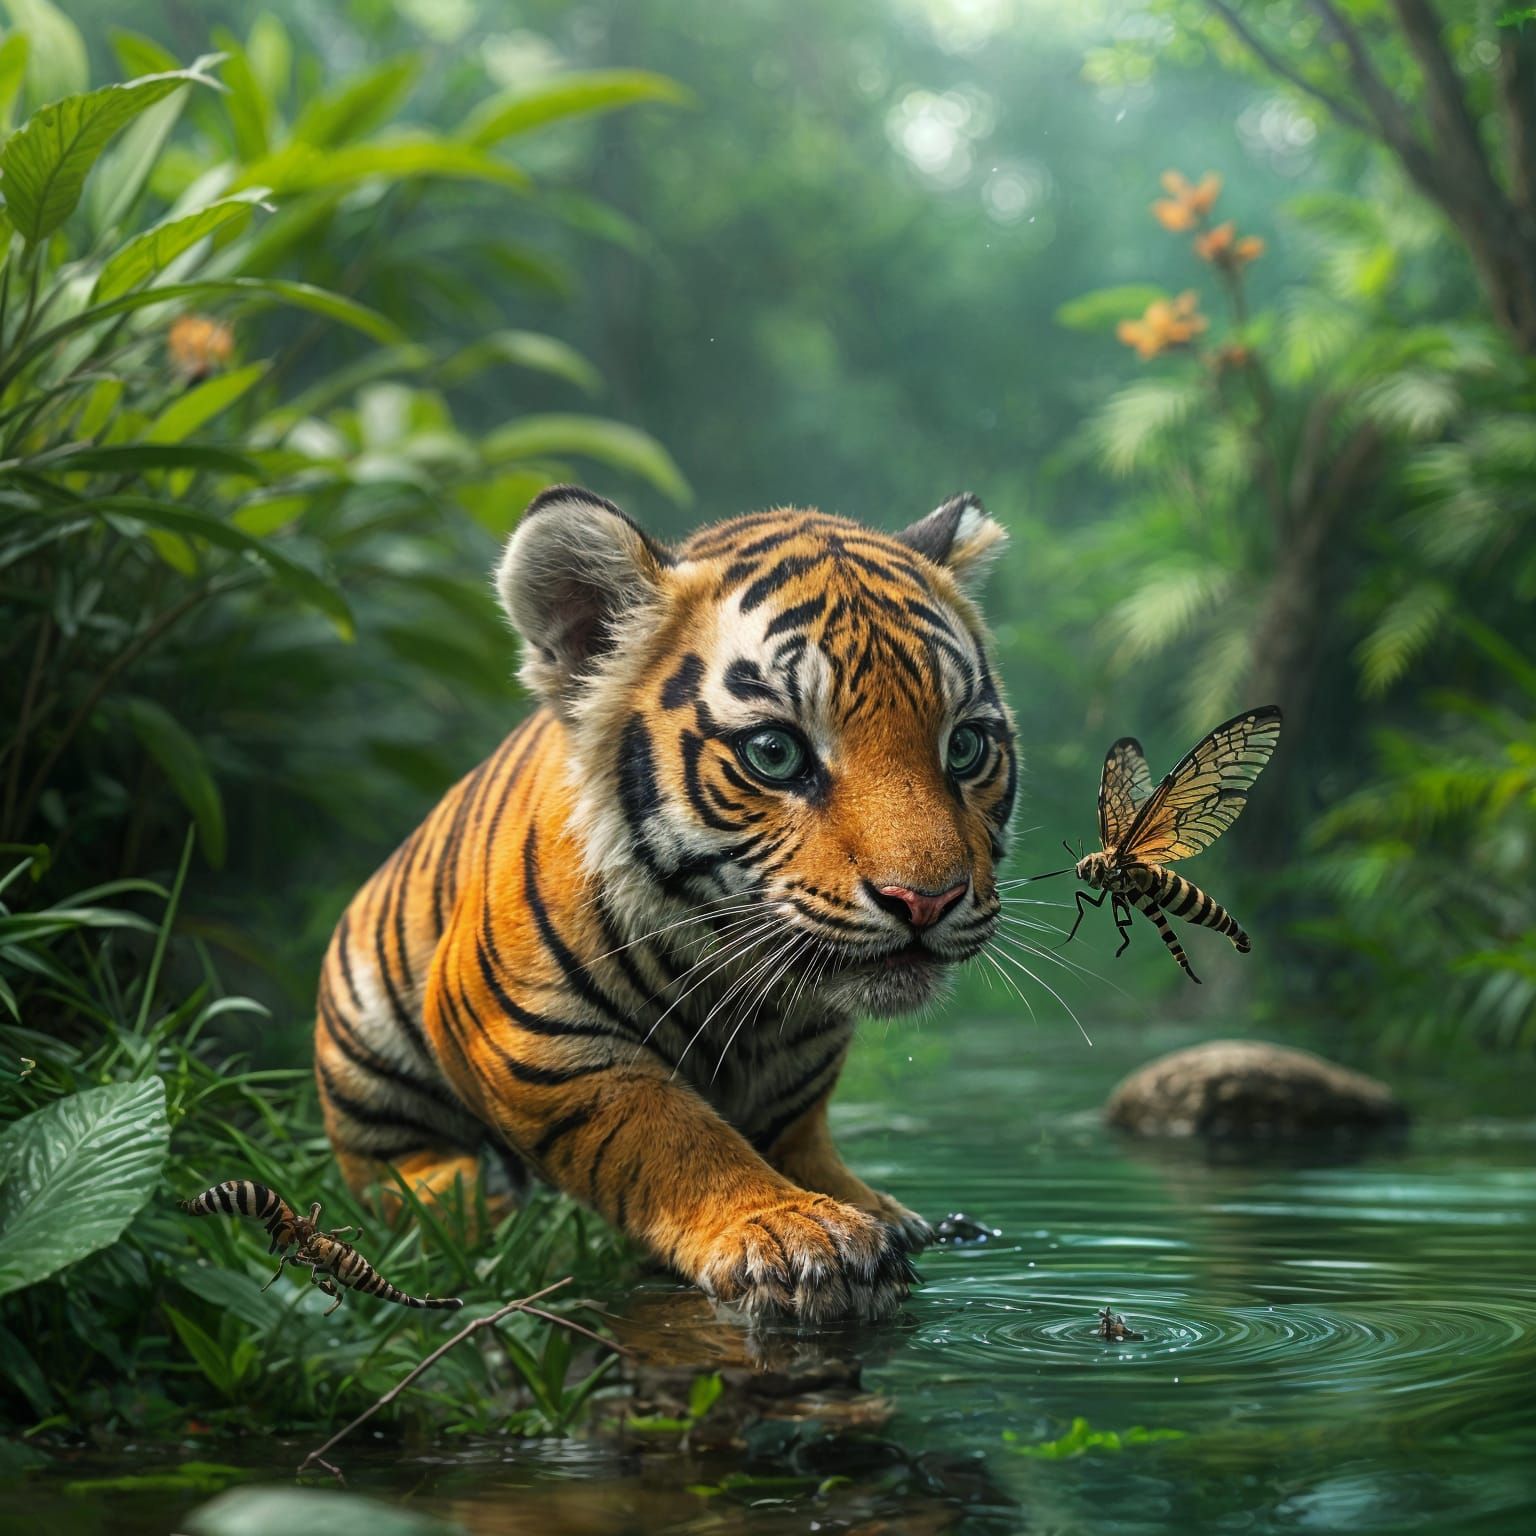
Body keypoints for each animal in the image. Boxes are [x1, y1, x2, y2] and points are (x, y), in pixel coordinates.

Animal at [314, 485, 1017, 1321]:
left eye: (965, 748)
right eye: (775, 753)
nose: (925, 901)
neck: (752, 996)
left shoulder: (799, 1064)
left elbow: (793, 1134)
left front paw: (873, 1215)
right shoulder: (532, 1034)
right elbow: (669, 1134)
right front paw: (797, 1235)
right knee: (400, 1177)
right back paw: (479, 1207)